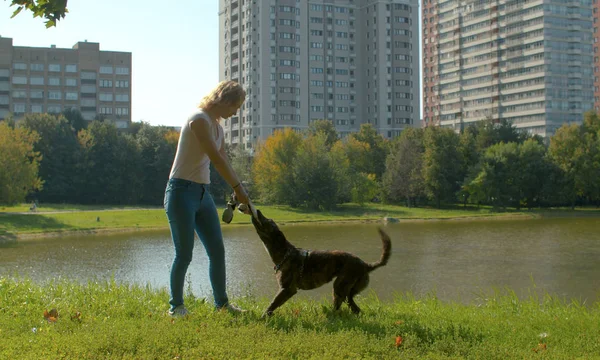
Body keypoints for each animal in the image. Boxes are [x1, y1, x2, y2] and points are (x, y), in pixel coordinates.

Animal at [251, 210, 392, 316]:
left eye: (268, 221)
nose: (257, 210)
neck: (284, 252)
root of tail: (365, 265)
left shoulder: (287, 289)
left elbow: (271, 305)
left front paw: (263, 318)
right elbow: (272, 306)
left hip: (339, 287)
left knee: (340, 307)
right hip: (348, 292)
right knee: (355, 308)